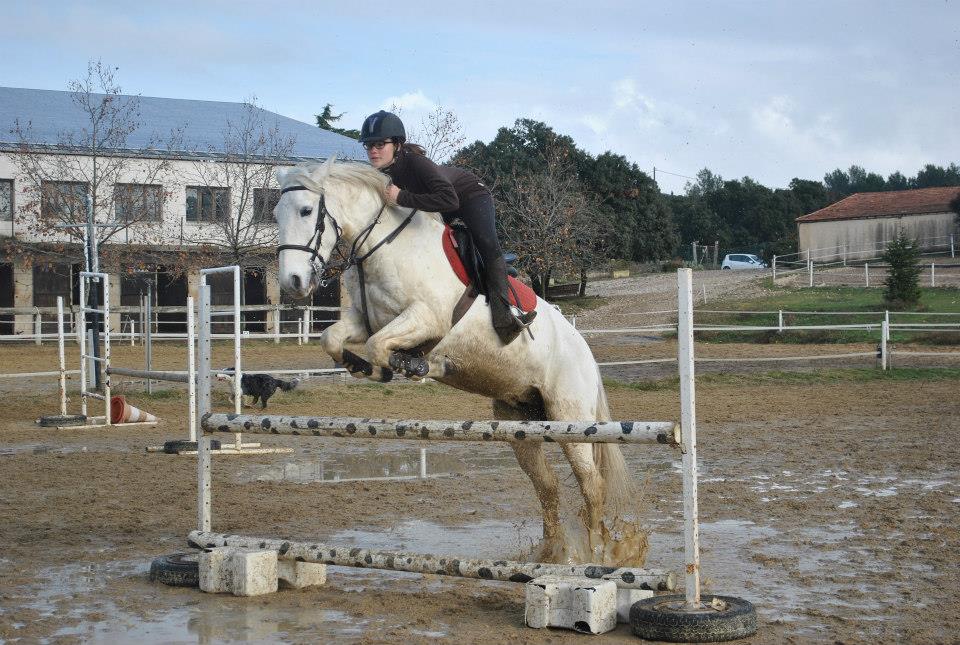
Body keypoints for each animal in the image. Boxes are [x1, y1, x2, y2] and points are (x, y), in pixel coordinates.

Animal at [272, 157, 644, 564]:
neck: (385, 246)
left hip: (569, 417)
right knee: (547, 486)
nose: (292, 282)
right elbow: (336, 338)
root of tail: (586, 353)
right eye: (275, 214)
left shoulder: (426, 317)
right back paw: (549, 554)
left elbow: (377, 344)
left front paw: (411, 365)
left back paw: (597, 554)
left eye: (306, 211)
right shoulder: (364, 319)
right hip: (520, 421)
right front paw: (365, 367)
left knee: (591, 484)